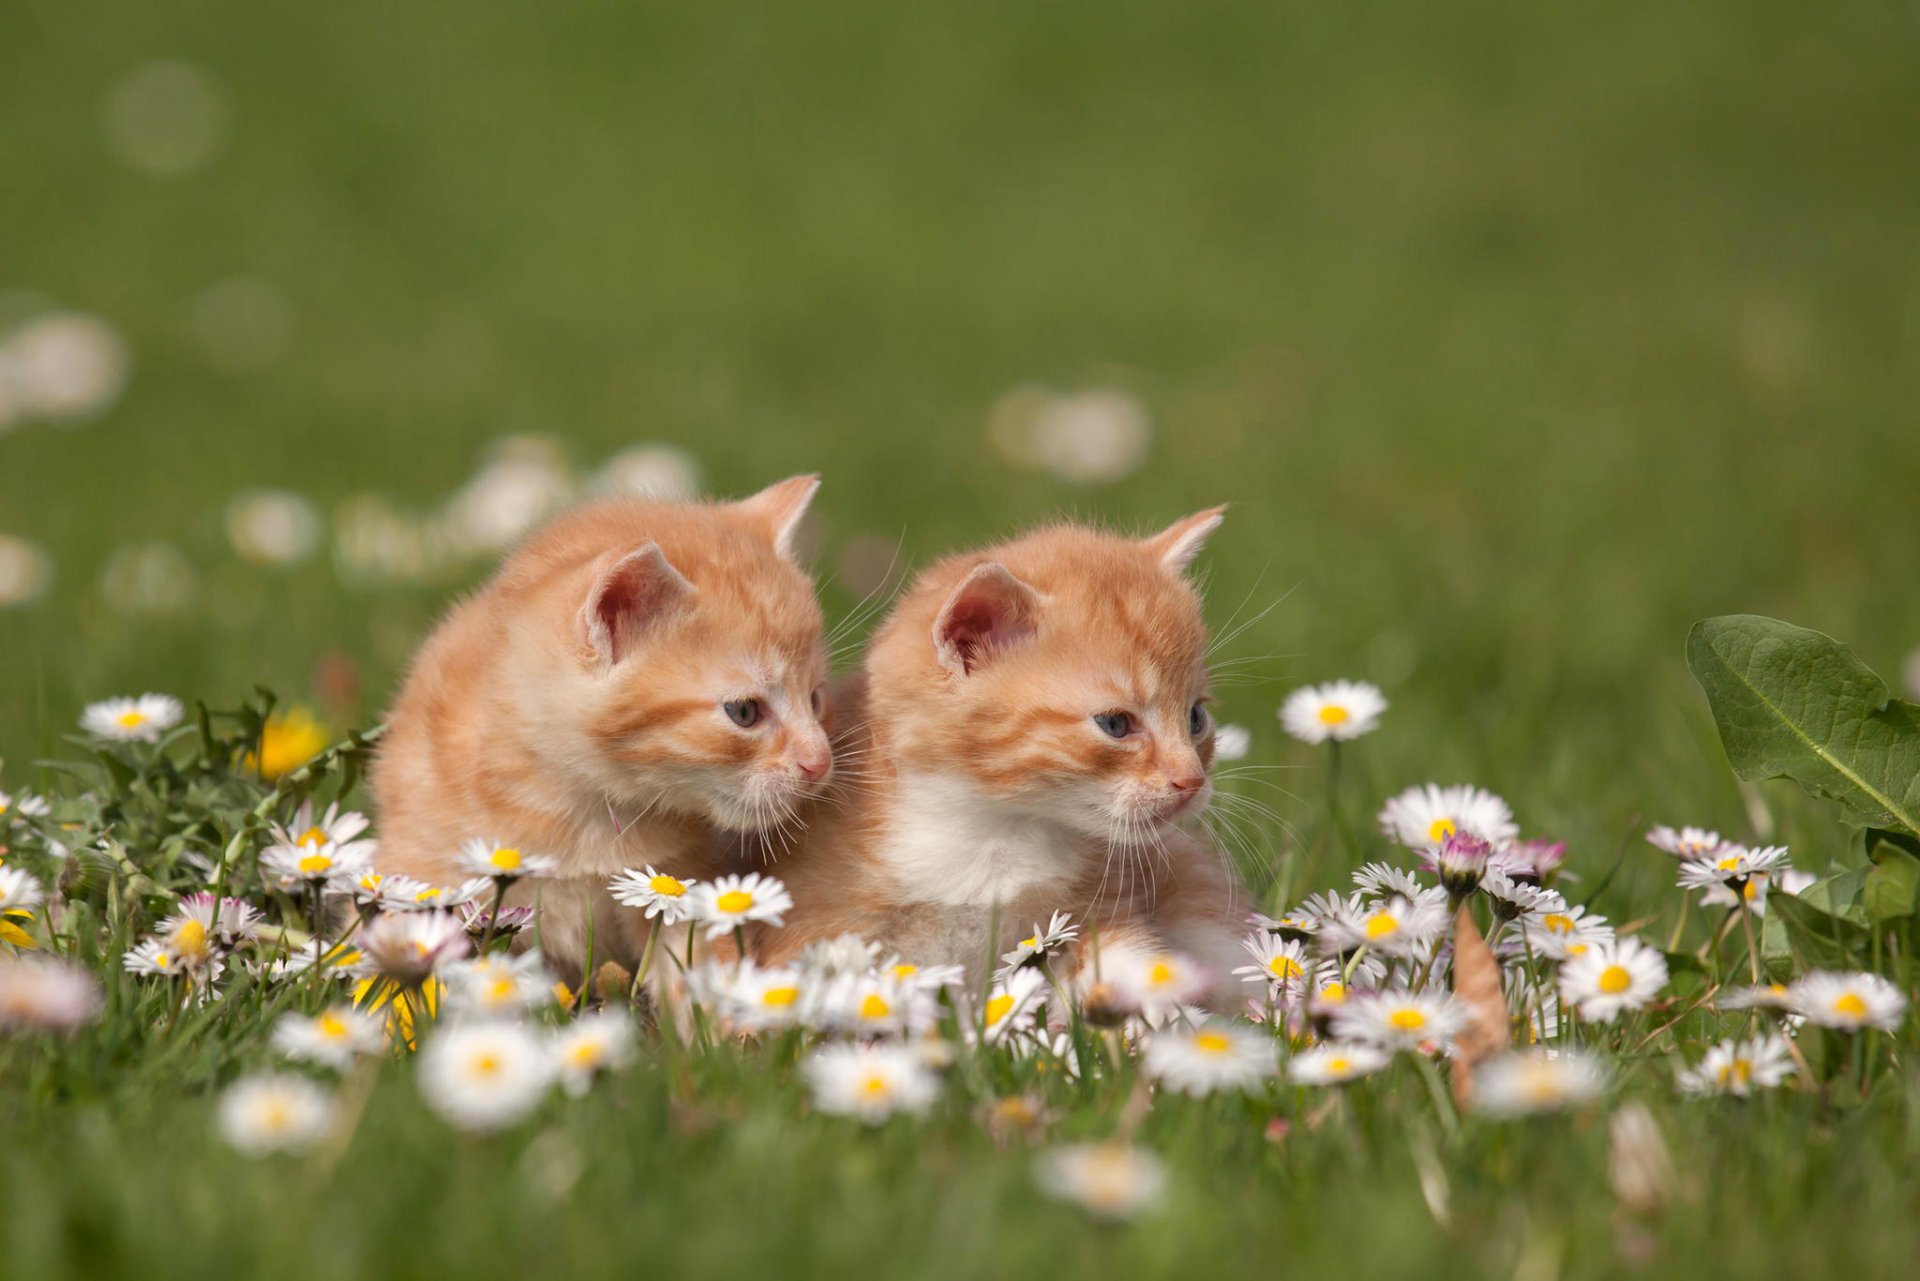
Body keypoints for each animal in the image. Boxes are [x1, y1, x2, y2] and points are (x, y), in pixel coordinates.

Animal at [370, 476, 829, 975]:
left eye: (815, 698)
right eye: (744, 712)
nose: (821, 762)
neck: (578, 812)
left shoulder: (683, 879)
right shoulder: (422, 869)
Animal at [764, 510, 1244, 990]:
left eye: (1196, 717)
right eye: (1115, 725)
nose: (1192, 780)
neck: (994, 831)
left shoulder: (1102, 902)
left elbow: (1129, 960)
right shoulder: (818, 924)